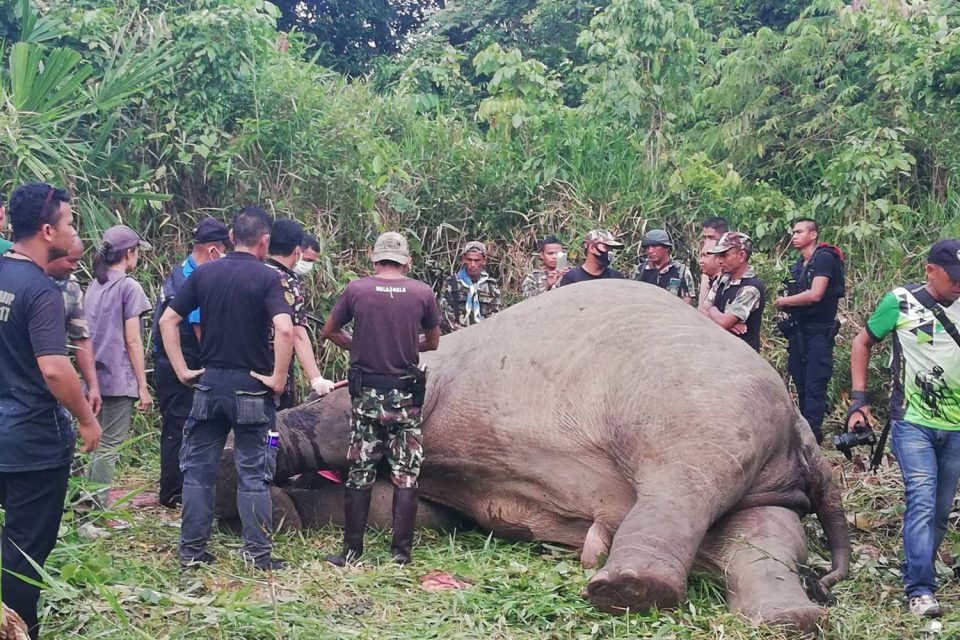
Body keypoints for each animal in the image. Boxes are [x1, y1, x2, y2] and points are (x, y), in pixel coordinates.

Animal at [216, 282, 848, 636]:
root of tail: (802, 425)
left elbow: (339, 431)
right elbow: (408, 506)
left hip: (703, 408)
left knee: (687, 486)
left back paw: (627, 592)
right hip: (753, 454)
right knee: (758, 533)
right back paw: (790, 619)